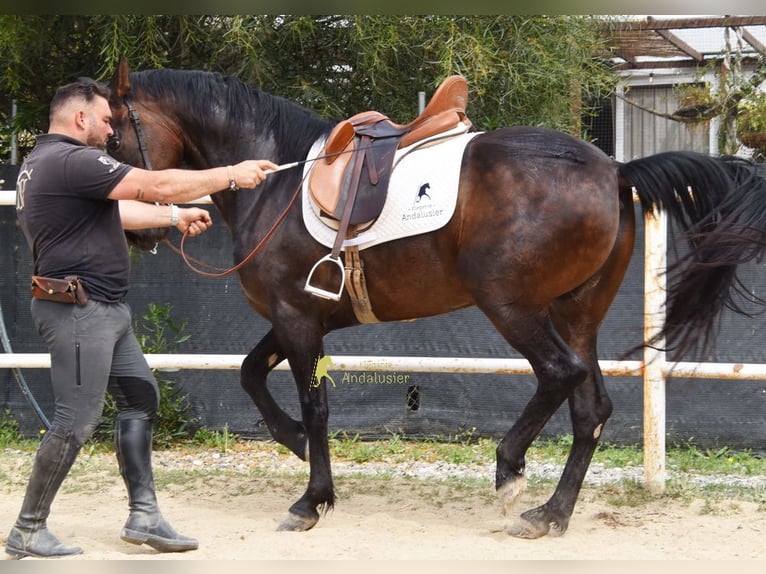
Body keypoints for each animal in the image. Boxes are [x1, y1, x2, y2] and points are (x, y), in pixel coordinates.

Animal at [105, 57, 766, 538]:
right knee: (590, 408)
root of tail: (614, 171)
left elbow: (314, 405)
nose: (135, 233)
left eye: (111, 138)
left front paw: (311, 499)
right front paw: (292, 442)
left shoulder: (297, 318)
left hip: (510, 306)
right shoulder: (303, 315)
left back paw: (510, 469)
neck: (278, 181)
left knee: (560, 374)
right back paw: (551, 514)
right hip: (575, 312)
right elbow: (248, 373)